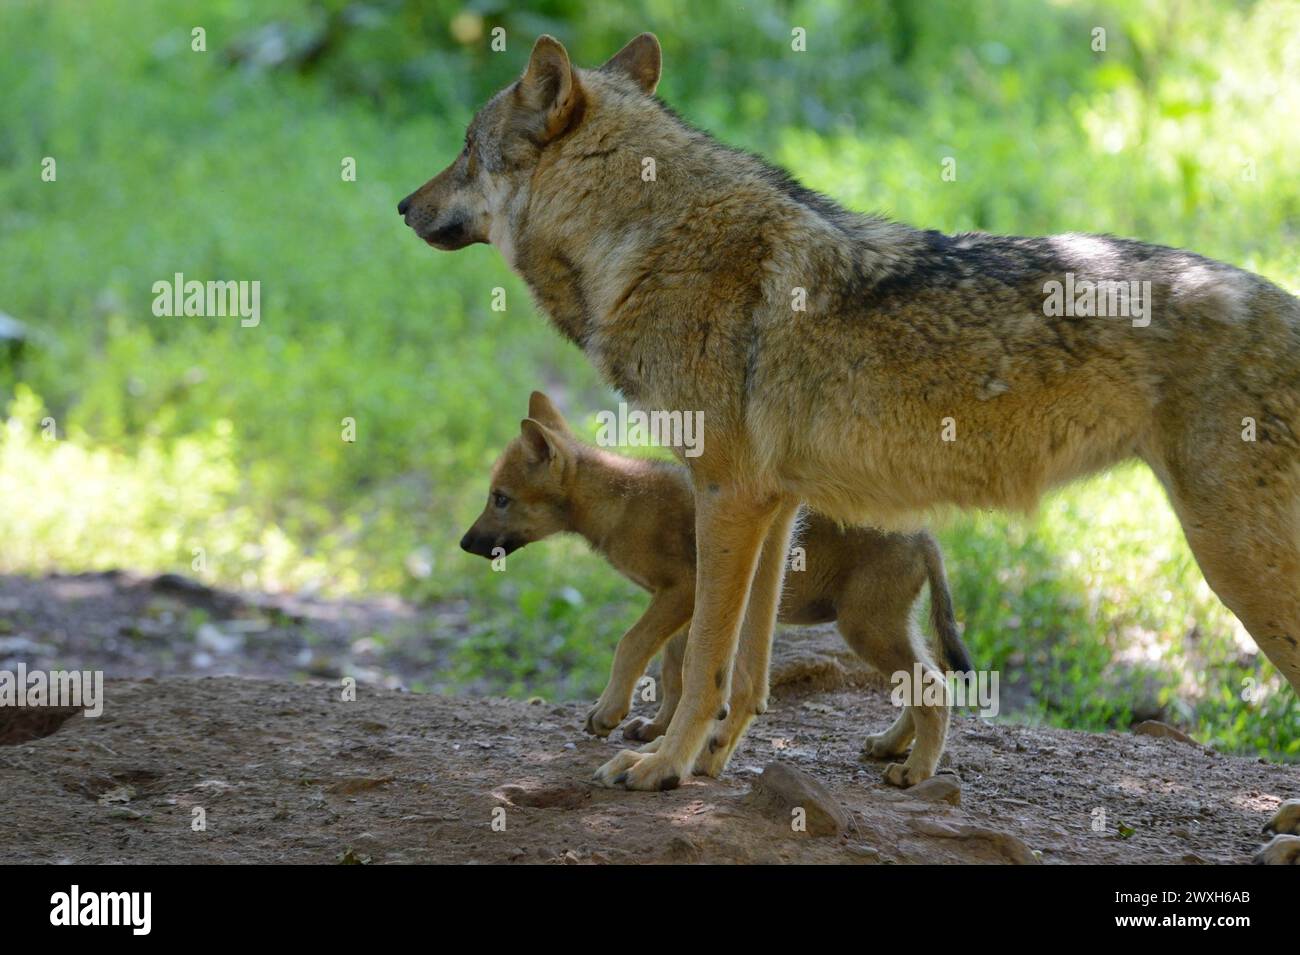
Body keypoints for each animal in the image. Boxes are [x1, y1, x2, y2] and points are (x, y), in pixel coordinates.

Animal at [400, 29, 1300, 857]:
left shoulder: (725, 499)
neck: (649, 242)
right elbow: (747, 669)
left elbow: (700, 661)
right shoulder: (772, 506)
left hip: (1235, 567)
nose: (402, 206)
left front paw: (661, 766)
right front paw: (712, 763)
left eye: (465, 149)